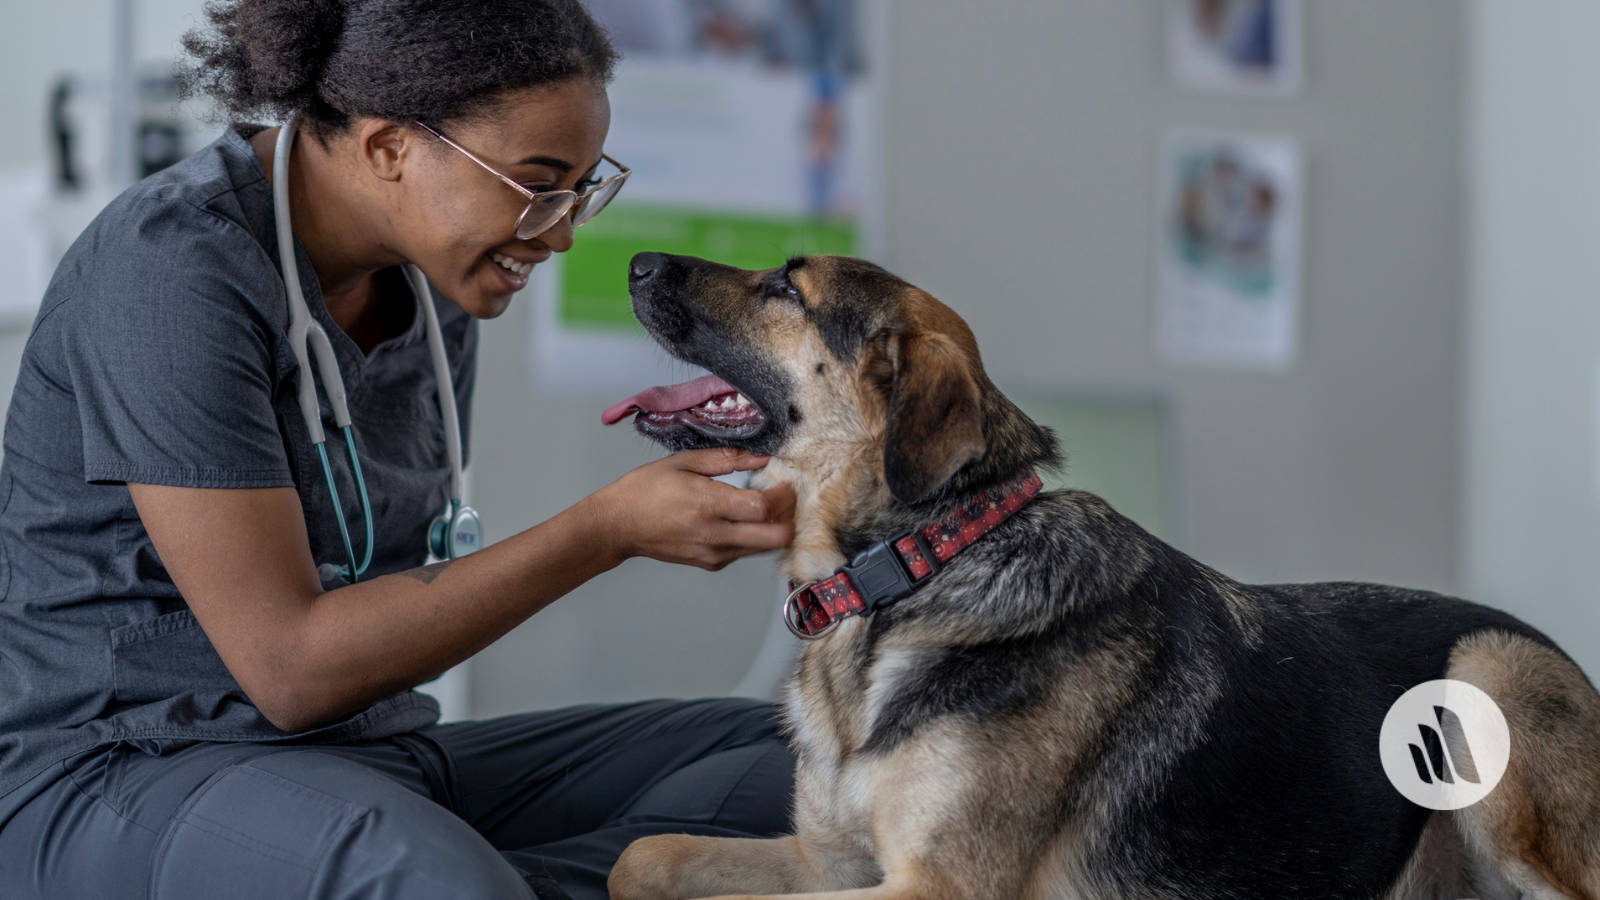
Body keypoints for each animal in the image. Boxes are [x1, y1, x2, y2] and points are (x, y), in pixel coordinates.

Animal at [601, 248, 1600, 890]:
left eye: (785, 287)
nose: (636, 261)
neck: (919, 565)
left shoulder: (937, 884)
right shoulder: (829, 861)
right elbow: (641, 857)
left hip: (1489, 666)